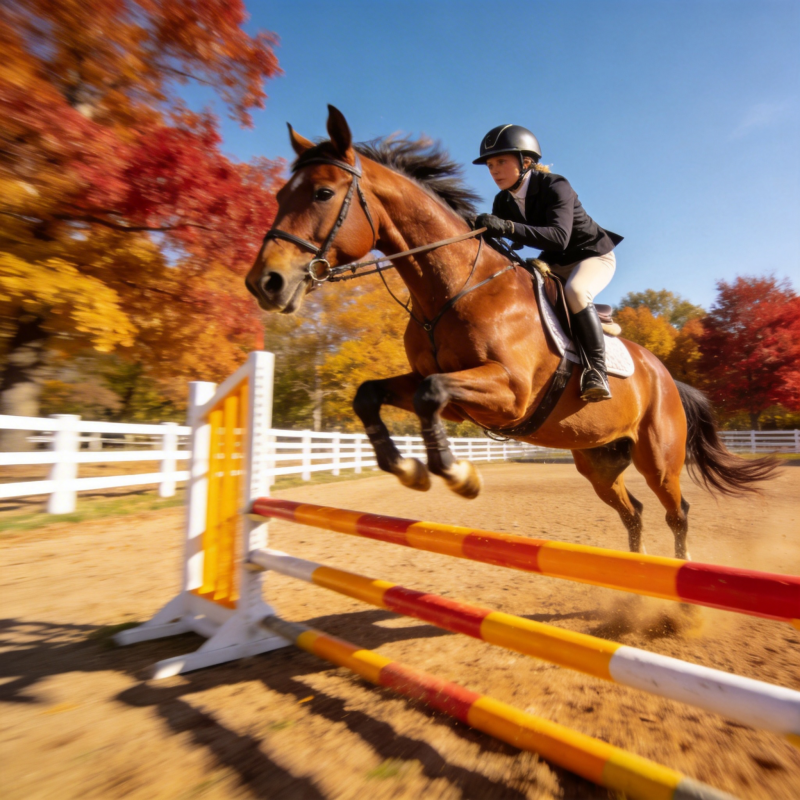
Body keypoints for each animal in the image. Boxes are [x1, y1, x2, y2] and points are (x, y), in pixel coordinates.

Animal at [246, 106, 777, 559]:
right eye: (278, 196)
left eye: (322, 193)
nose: (264, 283)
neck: (454, 288)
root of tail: (666, 376)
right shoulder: (450, 394)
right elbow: (373, 394)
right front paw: (411, 470)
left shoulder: (510, 392)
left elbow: (428, 393)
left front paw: (459, 475)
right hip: (598, 460)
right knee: (635, 512)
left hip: (659, 458)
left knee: (676, 511)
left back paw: (680, 599)